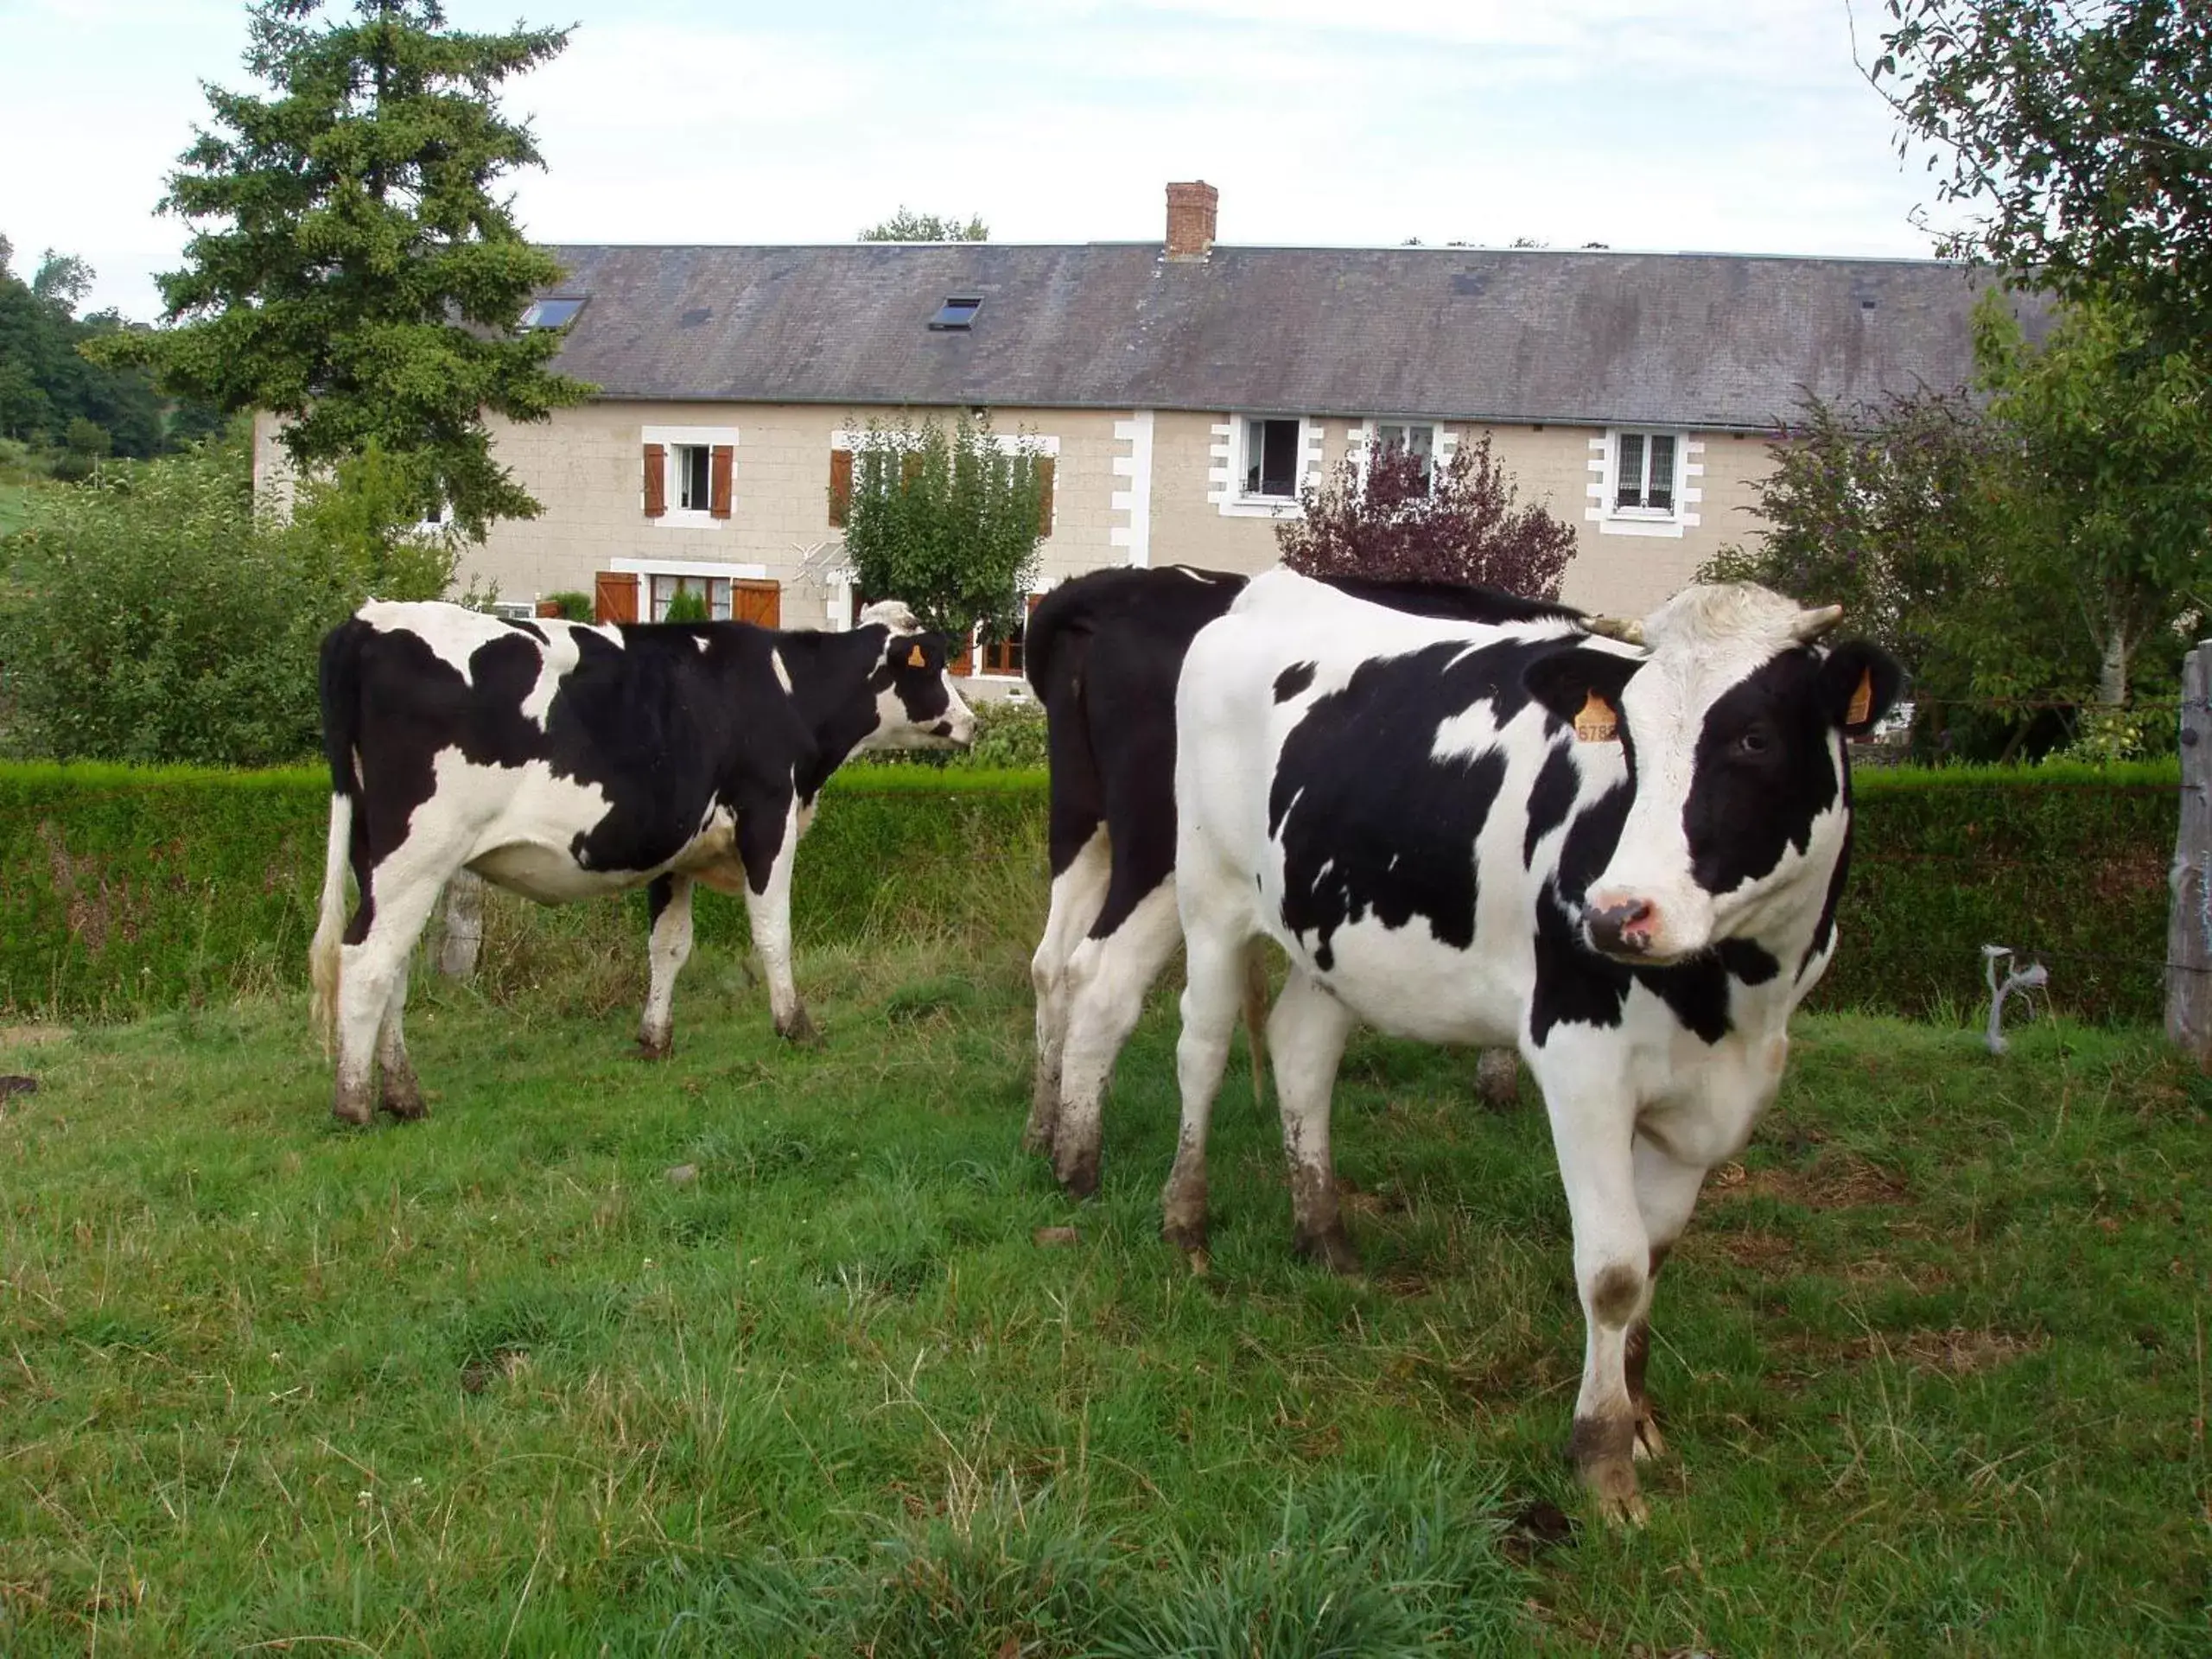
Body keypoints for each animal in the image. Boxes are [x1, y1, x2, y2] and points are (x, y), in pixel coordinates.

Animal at [309, 601, 969, 1132]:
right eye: (933, 663)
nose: (973, 721)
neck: (785, 690)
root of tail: (366, 621)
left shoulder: (676, 849)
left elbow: (669, 946)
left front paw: (654, 1039)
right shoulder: (768, 820)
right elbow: (773, 932)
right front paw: (795, 1025)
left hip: (384, 863)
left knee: (391, 968)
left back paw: (403, 1095)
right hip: (416, 853)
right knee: (368, 963)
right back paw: (355, 1103)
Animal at [1026, 566, 1583, 1203]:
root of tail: (1114, 587)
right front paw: (1499, 1078)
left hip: (1082, 826)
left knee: (1050, 965)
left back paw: (1043, 1130)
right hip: (1165, 854)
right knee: (1101, 979)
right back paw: (1079, 1163)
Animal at [1176, 570, 1902, 1522]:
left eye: (1754, 736)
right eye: (1627, 739)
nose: (1616, 915)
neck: (1736, 995)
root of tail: (1271, 586)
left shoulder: (1716, 1093)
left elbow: (1655, 1257)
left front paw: (1641, 1418)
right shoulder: (1581, 1060)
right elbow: (1614, 1269)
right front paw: (1602, 1461)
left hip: (1332, 934)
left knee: (1300, 1054)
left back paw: (1324, 1240)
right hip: (1210, 894)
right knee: (1201, 1048)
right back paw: (1186, 1227)